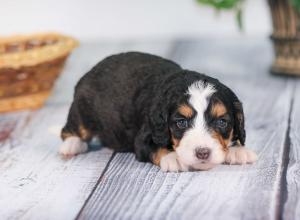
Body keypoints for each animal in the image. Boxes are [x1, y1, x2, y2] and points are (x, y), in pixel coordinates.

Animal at [59, 51, 256, 172]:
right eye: (181, 122)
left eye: (222, 122)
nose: (202, 153)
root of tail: (92, 69)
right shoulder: (143, 138)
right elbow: (156, 147)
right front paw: (174, 157)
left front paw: (238, 151)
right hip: (82, 109)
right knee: (71, 129)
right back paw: (72, 145)